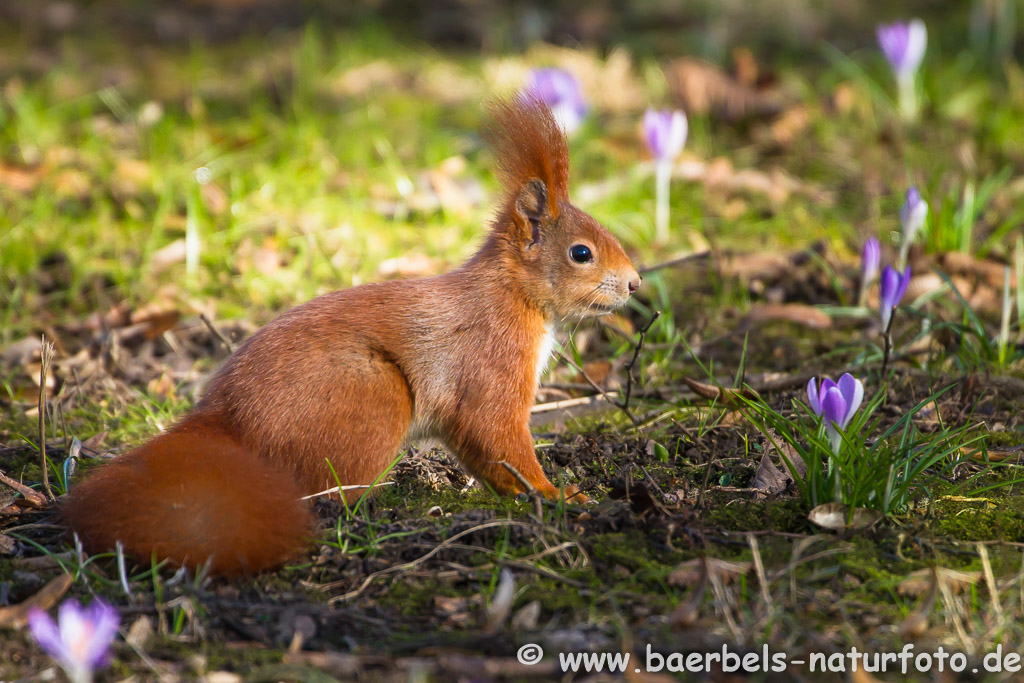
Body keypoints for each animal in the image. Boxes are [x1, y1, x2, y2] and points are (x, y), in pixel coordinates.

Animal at [64, 97, 638, 577]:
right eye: (581, 253)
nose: (635, 283)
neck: (515, 295)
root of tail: (229, 414)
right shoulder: (490, 362)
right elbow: (500, 439)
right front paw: (558, 495)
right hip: (372, 398)